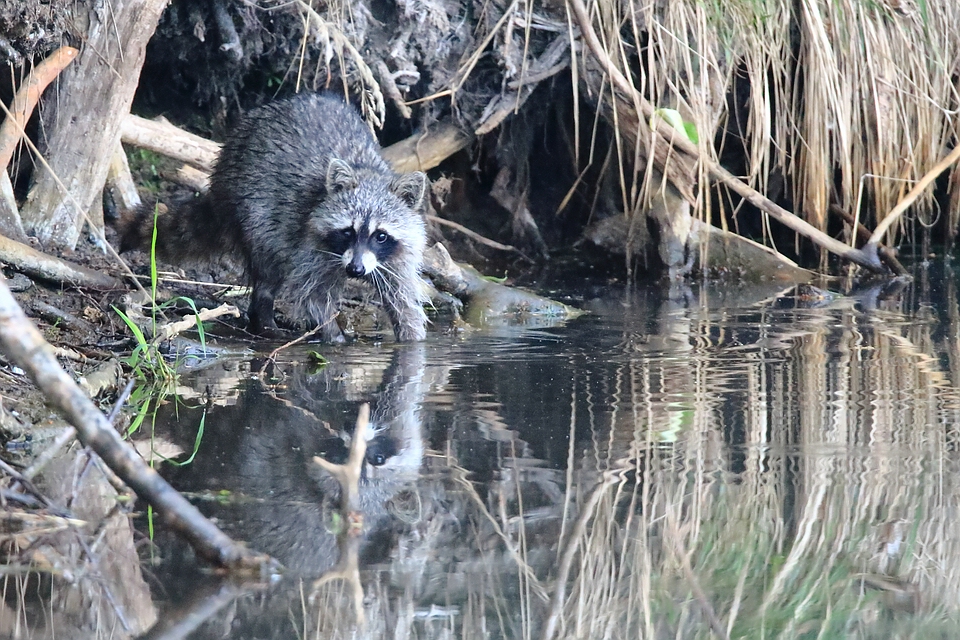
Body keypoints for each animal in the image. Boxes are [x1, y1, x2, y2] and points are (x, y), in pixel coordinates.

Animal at [120, 93, 428, 342]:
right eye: (347, 232)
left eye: (381, 235)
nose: (355, 270)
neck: (368, 172)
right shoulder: (310, 243)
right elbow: (313, 294)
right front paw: (333, 335)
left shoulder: (397, 255)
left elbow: (403, 298)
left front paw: (412, 341)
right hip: (251, 203)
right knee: (268, 265)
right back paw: (264, 317)